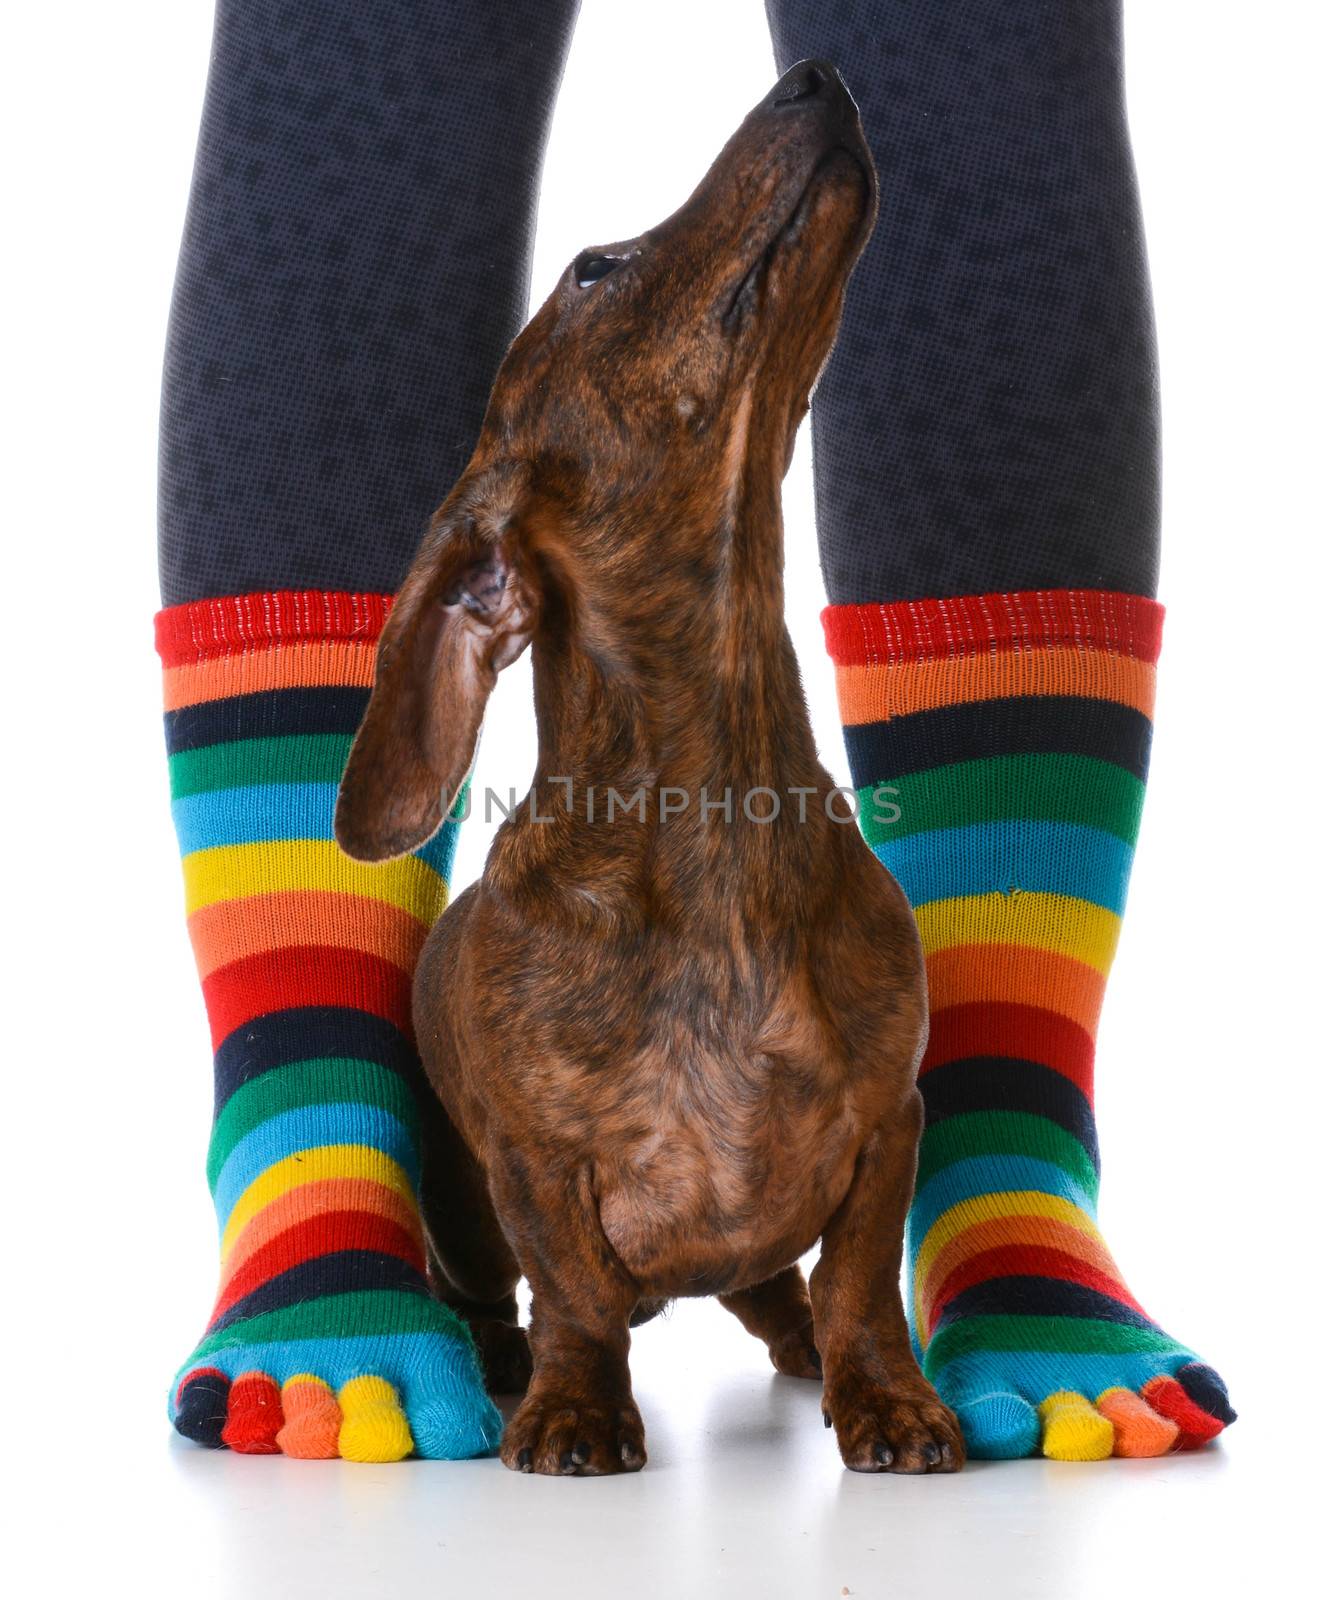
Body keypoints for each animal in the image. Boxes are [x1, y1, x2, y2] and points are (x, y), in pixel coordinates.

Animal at [332, 65, 960, 1484]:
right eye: (593, 269)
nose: (814, 76)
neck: (719, 820)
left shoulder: (885, 1123)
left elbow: (861, 1282)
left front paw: (888, 1399)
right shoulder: (534, 1162)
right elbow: (572, 1288)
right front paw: (572, 1406)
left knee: (782, 1296)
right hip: (457, 1209)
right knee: (499, 1297)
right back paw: (500, 1365)